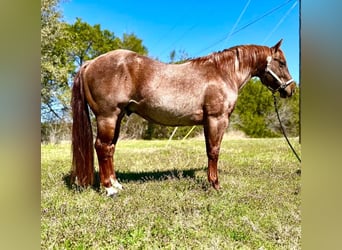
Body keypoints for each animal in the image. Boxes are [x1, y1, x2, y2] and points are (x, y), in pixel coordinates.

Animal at [70, 38, 294, 196]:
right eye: (282, 62)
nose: (291, 90)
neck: (222, 73)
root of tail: (90, 63)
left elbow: (210, 151)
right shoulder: (217, 119)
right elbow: (214, 151)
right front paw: (215, 185)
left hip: (116, 118)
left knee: (110, 149)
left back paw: (116, 184)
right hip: (107, 116)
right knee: (102, 147)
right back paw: (109, 189)